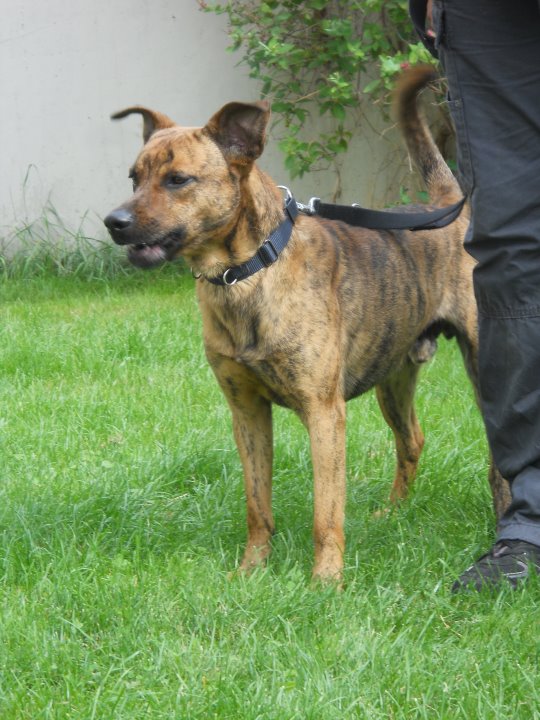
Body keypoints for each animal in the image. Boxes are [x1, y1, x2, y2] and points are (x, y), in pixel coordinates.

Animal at [104, 65, 510, 583]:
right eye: (134, 178)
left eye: (178, 180)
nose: (113, 221)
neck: (248, 274)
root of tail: (447, 203)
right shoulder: (247, 412)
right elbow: (258, 505)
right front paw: (251, 570)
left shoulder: (324, 414)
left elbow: (326, 512)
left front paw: (326, 581)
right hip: (394, 377)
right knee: (412, 440)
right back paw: (393, 513)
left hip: (482, 369)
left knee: (497, 460)